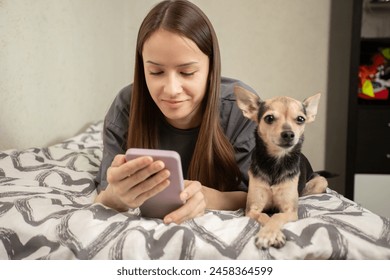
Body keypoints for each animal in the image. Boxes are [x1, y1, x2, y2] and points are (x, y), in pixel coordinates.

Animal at [235, 86, 330, 249]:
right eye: (269, 118)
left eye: (300, 119)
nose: (288, 134)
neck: (276, 162)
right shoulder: (252, 209)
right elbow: (265, 216)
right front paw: (270, 233)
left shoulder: (290, 211)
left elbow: (277, 217)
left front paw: (269, 233)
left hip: (321, 182)